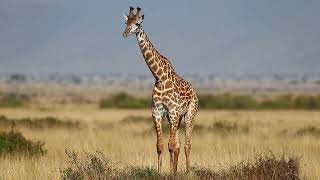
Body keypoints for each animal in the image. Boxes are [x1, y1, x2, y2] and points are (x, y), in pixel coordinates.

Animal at [122, 7, 198, 174]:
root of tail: (194, 91)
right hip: (175, 118)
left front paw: (169, 173)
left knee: (187, 145)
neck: (159, 77)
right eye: (126, 22)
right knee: (178, 145)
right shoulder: (157, 112)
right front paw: (160, 171)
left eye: (137, 23)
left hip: (189, 114)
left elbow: (170, 145)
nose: (124, 33)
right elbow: (160, 146)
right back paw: (176, 170)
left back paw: (188, 171)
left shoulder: (173, 112)